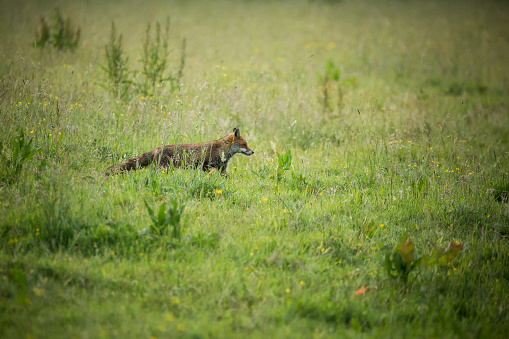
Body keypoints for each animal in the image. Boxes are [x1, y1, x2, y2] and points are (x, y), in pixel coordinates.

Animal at [104, 127, 252, 178]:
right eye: (244, 144)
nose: (253, 151)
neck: (222, 150)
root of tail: (157, 148)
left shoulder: (222, 168)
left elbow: (226, 177)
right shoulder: (204, 166)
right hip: (164, 169)